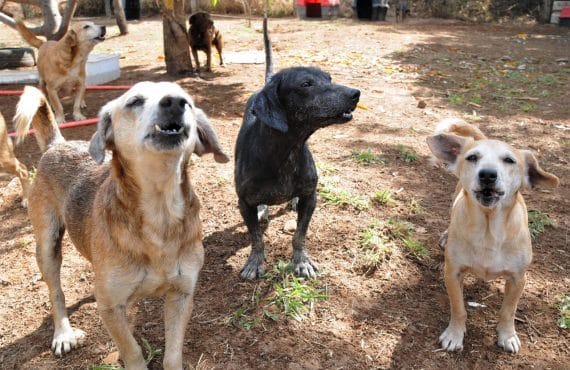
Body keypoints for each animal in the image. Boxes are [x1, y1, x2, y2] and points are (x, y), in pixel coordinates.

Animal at [13, 84, 226, 370]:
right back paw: (63, 333)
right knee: (55, 291)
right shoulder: (110, 308)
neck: (160, 214)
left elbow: (172, 354)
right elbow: (132, 350)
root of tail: (58, 144)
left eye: (188, 102)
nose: (175, 102)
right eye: (135, 101)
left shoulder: (182, 295)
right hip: (47, 245)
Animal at [232, 15, 358, 278]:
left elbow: (299, 235)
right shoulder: (244, 204)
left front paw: (301, 261)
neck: (285, 152)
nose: (356, 94)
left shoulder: (311, 197)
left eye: (329, 78)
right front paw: (255, 261)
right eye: (306, 84)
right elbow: (256, 237)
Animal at [426, 120, 556, 354]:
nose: (487, 174)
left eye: (509, 160)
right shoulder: (453, 274)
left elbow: (508, 311)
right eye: (472, 157)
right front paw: (454, 334)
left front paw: (507, 335)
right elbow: (458, 308)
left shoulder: (518, 279)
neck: (488, 232)